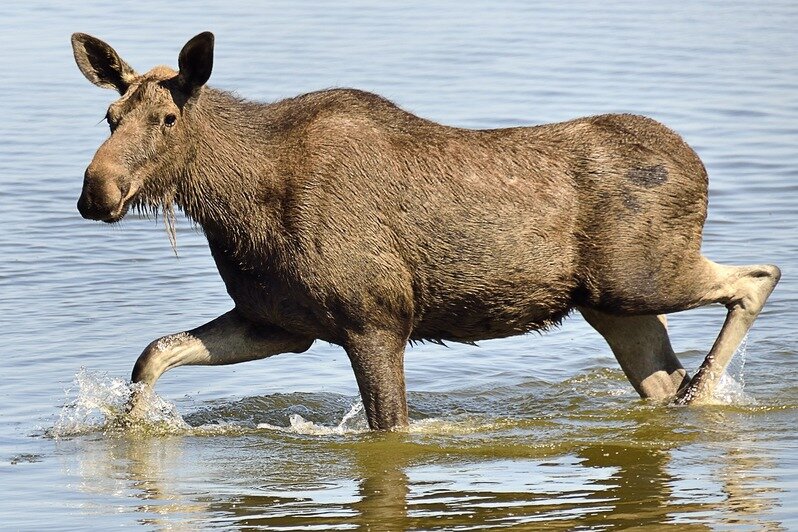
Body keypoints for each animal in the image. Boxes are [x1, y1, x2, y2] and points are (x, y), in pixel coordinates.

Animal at [72, 32, 780, 428]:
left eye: (166, 119)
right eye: (109, 116)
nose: (95, 191)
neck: (235, 210)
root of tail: (699, 166)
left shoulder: (375, 318)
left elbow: (391, 429)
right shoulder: (279, 323)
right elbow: (153, 354)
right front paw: (129, 428)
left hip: (642, 277)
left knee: (757, 275)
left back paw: (703, 393)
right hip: (613, 305)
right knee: (663, 377)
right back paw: (691, 396)